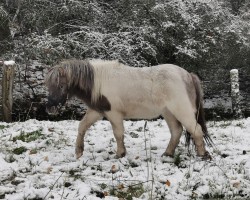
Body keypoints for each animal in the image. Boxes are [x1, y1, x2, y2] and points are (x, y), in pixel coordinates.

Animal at [45, 58, 213, 160]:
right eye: (48, 85)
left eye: (60, 85)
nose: (50, 108)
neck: (99, 82)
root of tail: (188, 75)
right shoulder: (97, 111)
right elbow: (82, 126)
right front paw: (79, 151)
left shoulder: (113, 114)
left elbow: (118, 133)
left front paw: (120, 153)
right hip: (169, 112)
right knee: (176, 131)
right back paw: (167, 154)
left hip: (181, 110)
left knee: (196, 130)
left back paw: (203, 155)